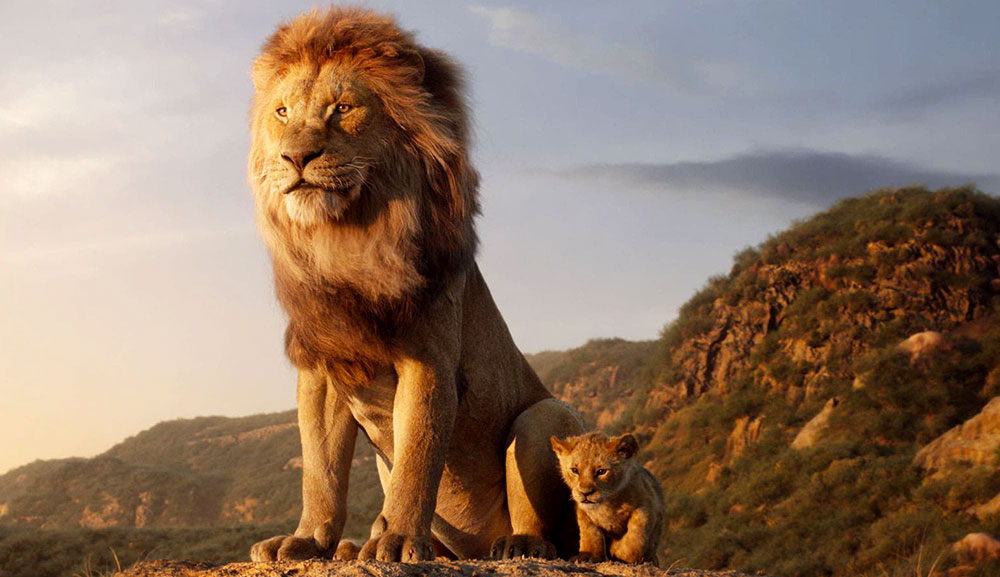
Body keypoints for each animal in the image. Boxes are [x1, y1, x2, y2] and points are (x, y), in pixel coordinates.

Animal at [246, 7, 584, 563]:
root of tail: (472, 549)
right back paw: (354, 547)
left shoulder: (429, 361)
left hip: (545, 416)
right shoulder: (323, 367)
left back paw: (516, 544)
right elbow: (320, 470)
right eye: (282, 112)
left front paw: (400, 539)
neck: (347, 240)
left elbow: (417, 459)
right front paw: (308, 539)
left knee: (548, 528)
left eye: (343, 108)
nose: (296, 157)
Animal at [551, 433, 665, 565]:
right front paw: (588, 555)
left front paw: (619, 551)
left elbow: (636, 534)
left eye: (601, 471)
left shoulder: (647, 506)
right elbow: (590, 533)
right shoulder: (583, 512)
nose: (585, 493)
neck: (607, 504)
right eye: (575, 470)